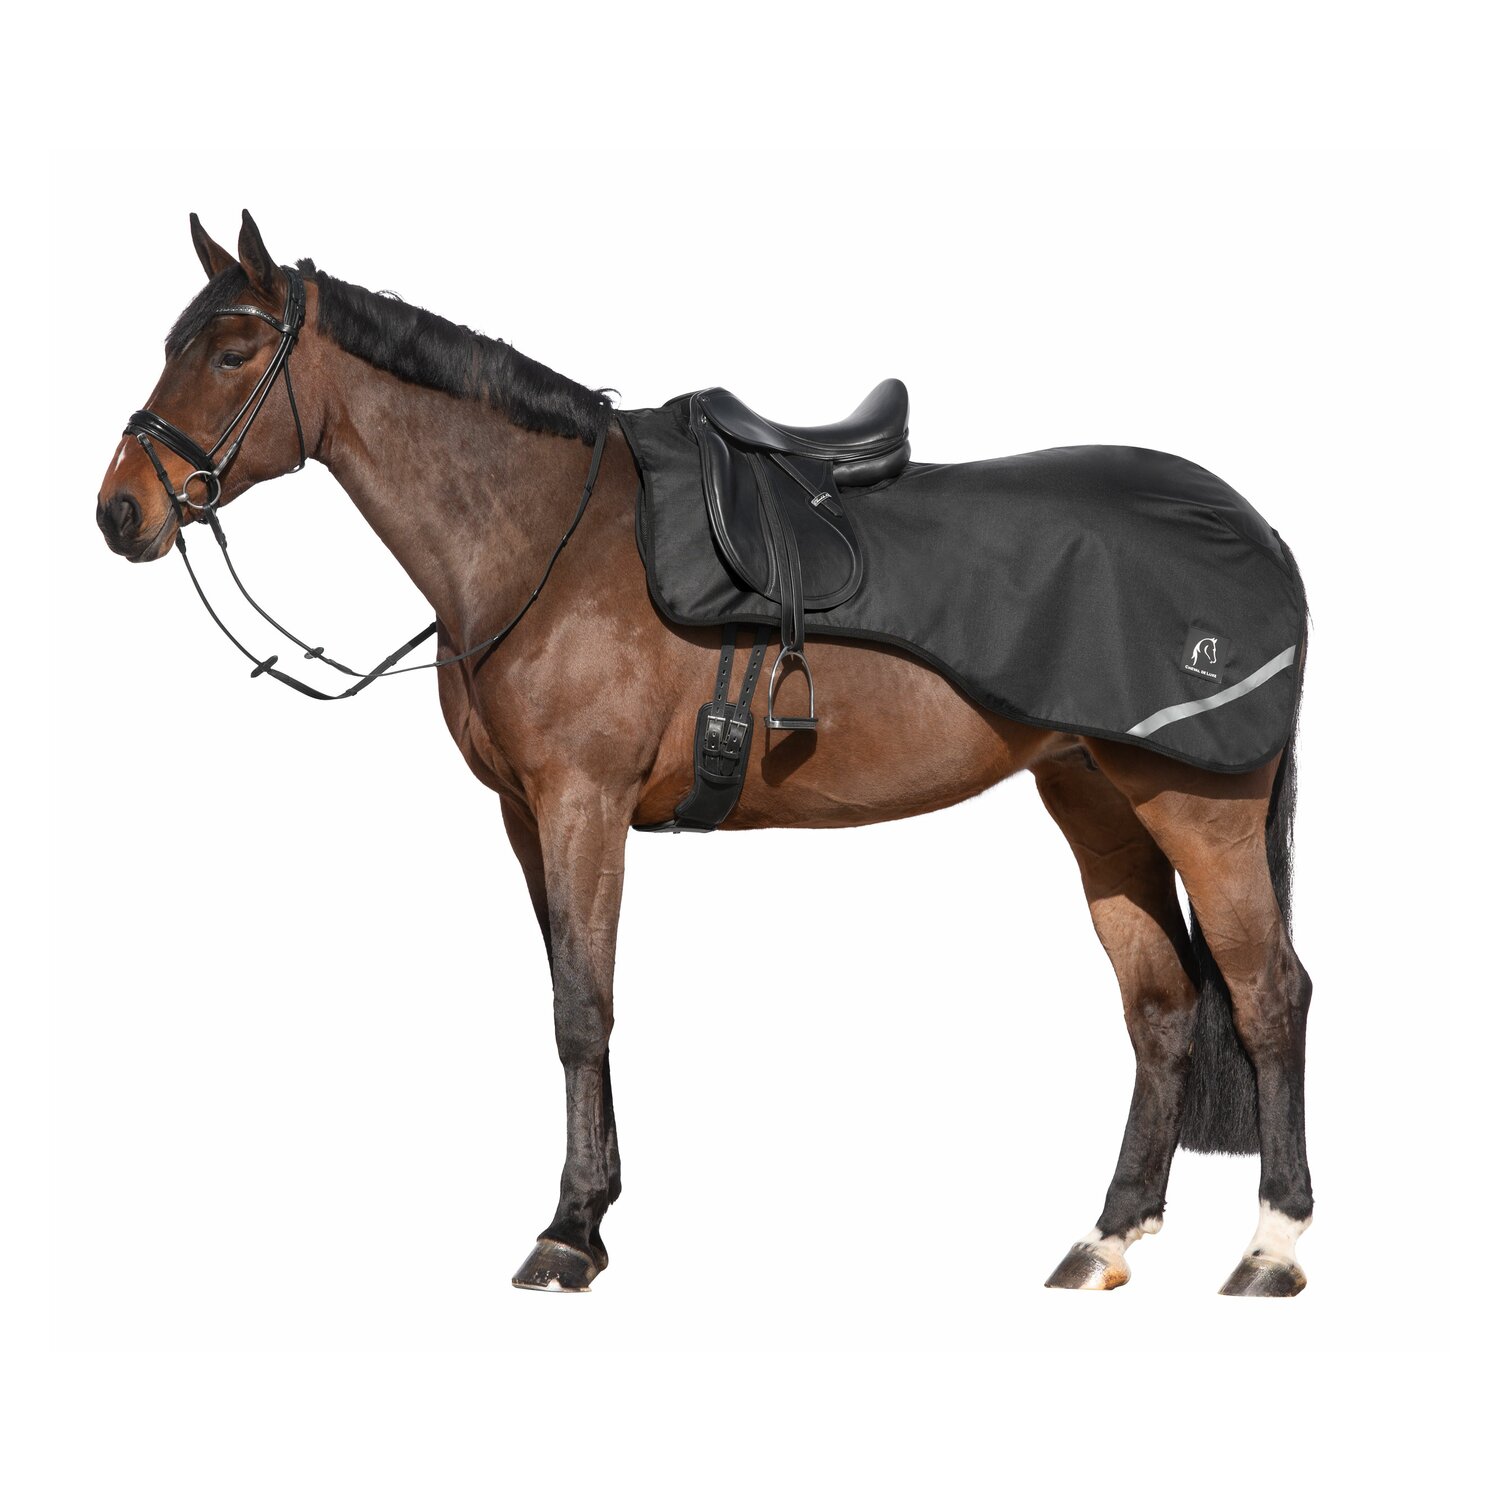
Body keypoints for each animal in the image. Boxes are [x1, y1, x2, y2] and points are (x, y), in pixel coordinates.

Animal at [96, 211, 1313, 1296]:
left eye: (233, 353)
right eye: (171, 346)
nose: (120, 512)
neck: (548, 538)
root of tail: (1253, 527)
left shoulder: (582, 802)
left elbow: (583, 1010)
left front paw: (569, 1232)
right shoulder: (525, 816)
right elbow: (567, 993)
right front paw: (591, 1212)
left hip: (1198, 810)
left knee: (1268, 994)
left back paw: (1271, 1247)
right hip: (1095, 799)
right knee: (1160, 1007)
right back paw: (1105, 1238)